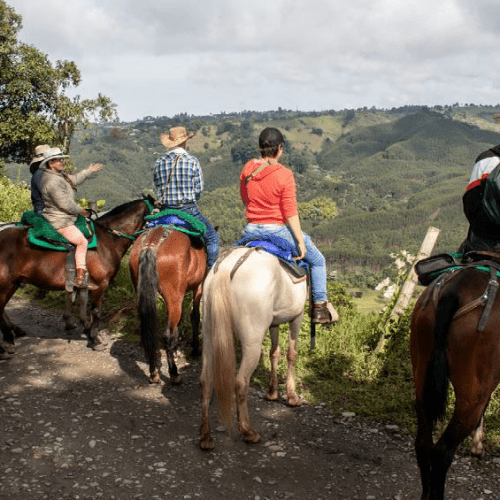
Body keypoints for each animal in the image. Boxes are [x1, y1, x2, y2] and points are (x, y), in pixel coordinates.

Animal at [0, 196, 153, 356]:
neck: (106, 242)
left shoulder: (85, 284)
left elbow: (82, 309)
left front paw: (87, 331)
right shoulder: (100, 285)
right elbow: (95, 312)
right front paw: (95, 339)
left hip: (12, 283)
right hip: (5, 284)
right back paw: (8, 341)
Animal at [130, 225, 208, 384]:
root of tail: (151, 243)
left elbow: (178, 323)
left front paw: (177, 348)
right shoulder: (198, 287)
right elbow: (195, 317)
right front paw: (195, 349)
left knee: (149, 330)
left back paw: (153, 372)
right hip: (174, 296)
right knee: (166, 335)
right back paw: (174, 373)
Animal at [199, 248, 308, 452]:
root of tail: (226, 268)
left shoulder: (274, 322)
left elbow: (275, 353)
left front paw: (272, 392)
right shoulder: (297, 316)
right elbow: (291, 354)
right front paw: (291, 396)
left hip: (209, 336)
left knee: (206, 381)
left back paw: (206, 437)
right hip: (252, 343)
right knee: (241, 382)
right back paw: (248, 432)